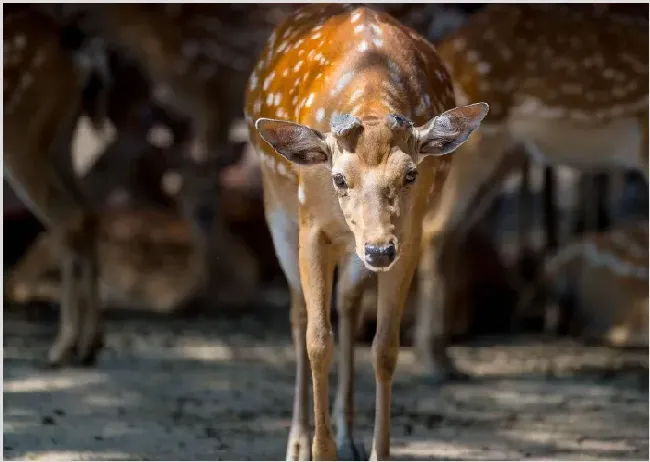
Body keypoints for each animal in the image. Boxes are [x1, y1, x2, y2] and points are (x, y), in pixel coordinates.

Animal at [244, 4, 486, 462]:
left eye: (411, 174)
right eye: (338, 177)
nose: (378, 250)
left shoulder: (409, 235)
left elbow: (385, 347)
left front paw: (377, 451)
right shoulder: (312, 226)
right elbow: (317, 340)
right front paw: (320, 451)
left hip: (355, 249)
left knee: (349, 305)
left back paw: (349, 436)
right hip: (278, 210)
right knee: (298, 313)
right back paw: (298, 440)